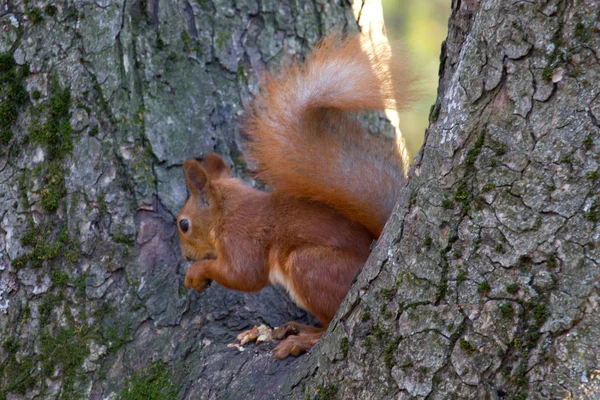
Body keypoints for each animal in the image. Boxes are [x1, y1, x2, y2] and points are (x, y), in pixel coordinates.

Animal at [176, 33, 414, 360]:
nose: (185, 256)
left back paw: (303, 339)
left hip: (310, 265)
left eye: (183, 224)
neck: (226, 209)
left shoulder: (240, 238)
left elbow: (245, 276)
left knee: (330, 323)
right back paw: (297, 328)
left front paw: (197, 271)